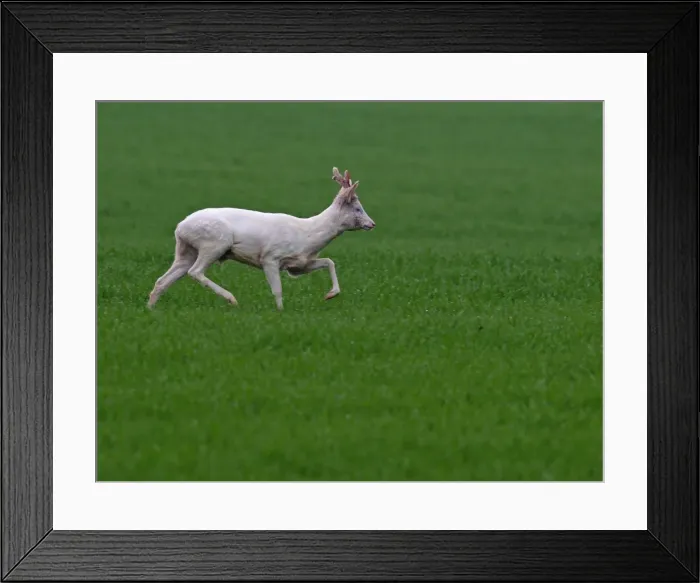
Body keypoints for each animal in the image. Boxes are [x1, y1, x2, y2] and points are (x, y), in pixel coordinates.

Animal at [147, 167, 376, 311]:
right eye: (357, 208)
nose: (372, 224)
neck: (307, 235)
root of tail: (180, 227)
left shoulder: (298, 266)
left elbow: (329, 261)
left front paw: (330, 294)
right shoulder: (270, 257)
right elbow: (277, 289)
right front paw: (280, 312)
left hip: (186, 250)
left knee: (163, 280)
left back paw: (150, 308)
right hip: (215, 243)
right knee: (195, 272)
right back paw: (231, 299)